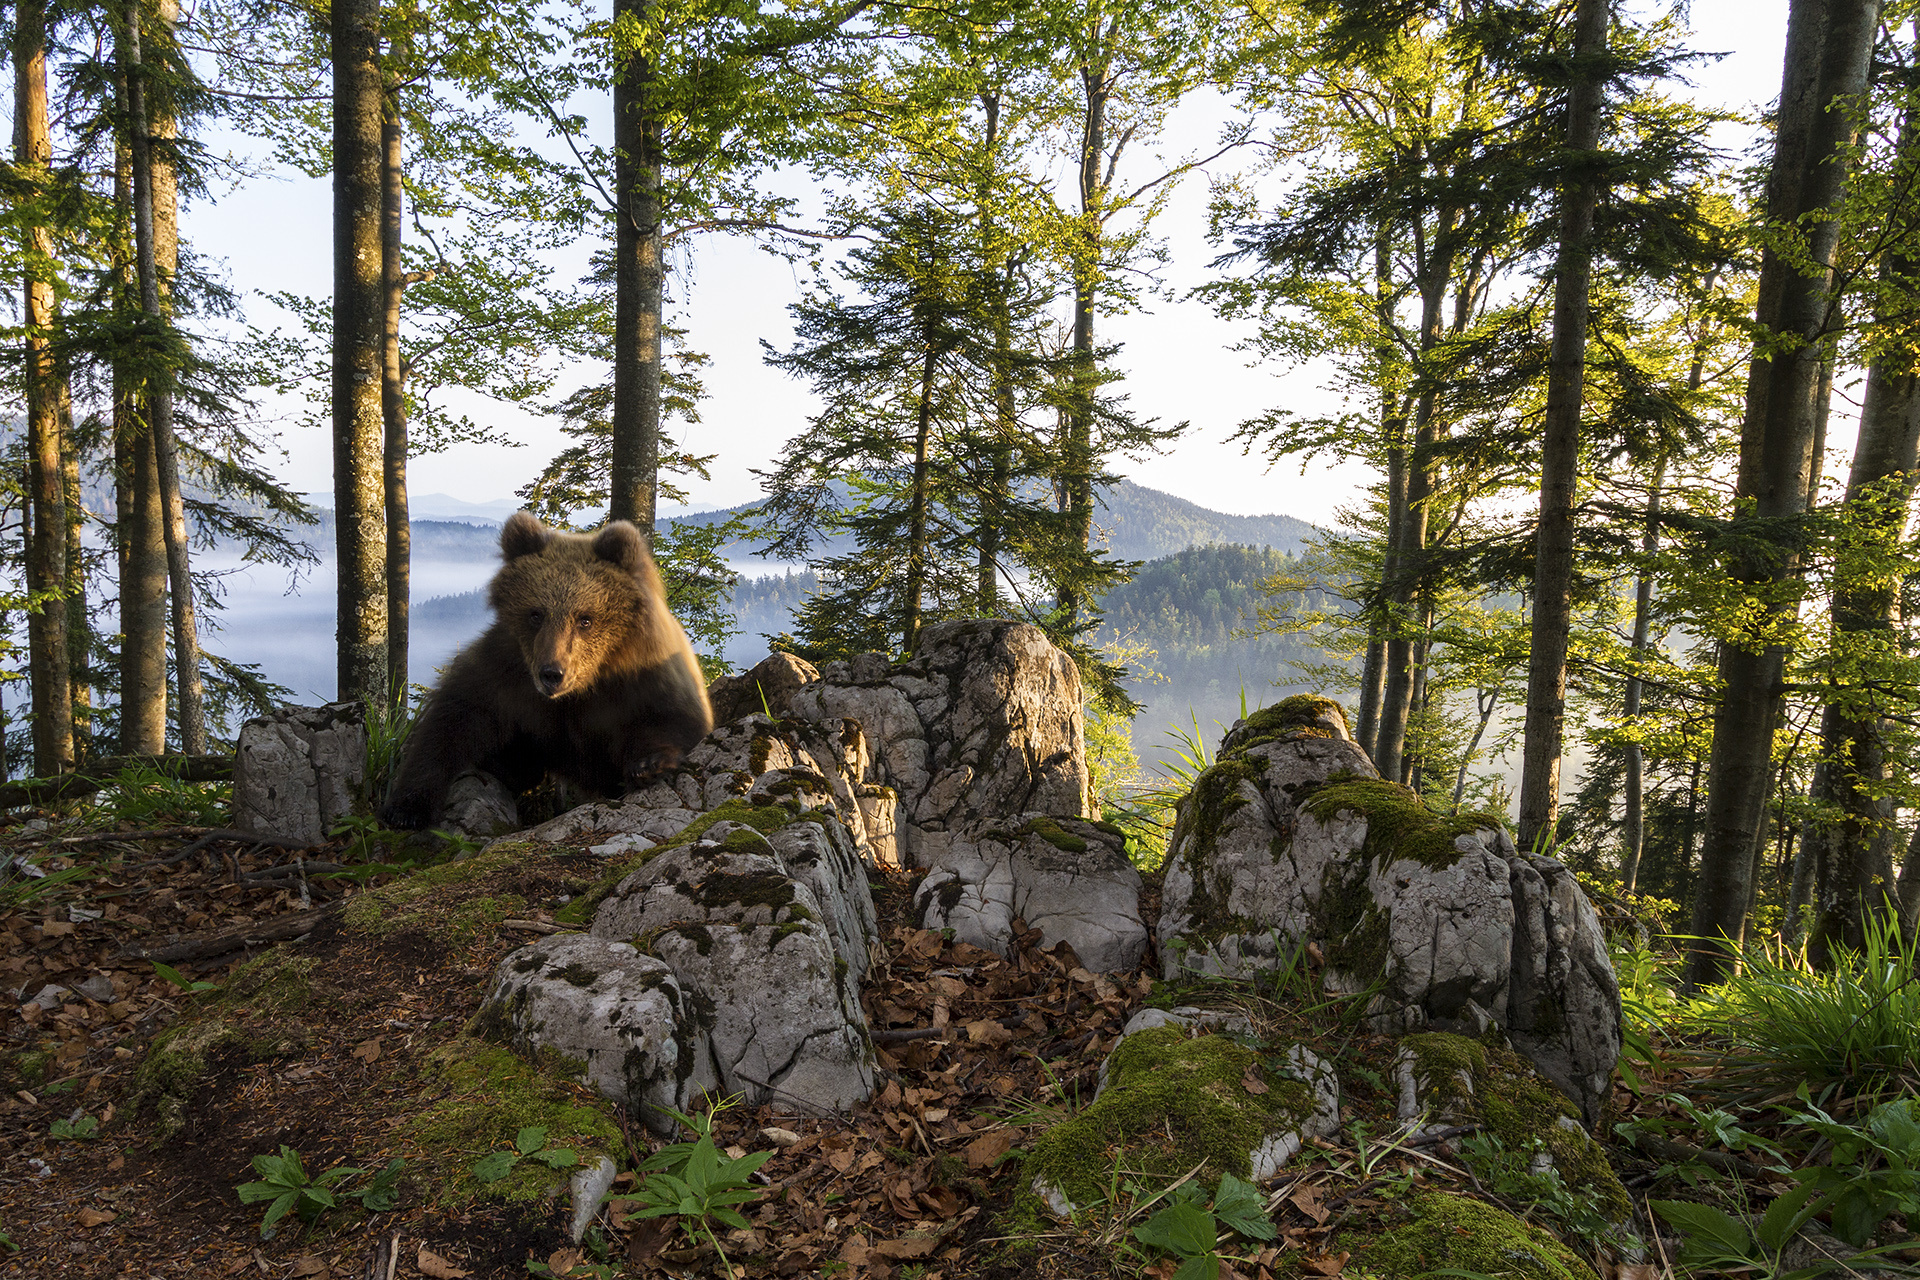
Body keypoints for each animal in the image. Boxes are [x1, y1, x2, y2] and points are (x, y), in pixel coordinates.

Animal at [378, 511, 715, 829]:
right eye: (536, 613)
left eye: (585, 619)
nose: (552, 673)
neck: (586, 685)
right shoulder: (508, 668)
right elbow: (453, 718)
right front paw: (406, 809)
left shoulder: (642, 675)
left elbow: (673, 717)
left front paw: (648, 765)